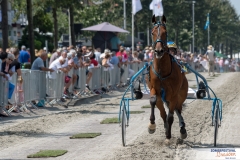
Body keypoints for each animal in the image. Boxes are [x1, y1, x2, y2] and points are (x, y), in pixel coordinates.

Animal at [147, 14, 188, 142]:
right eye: (152, 32)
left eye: (166, 32)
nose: (159, 50)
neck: (162, 73)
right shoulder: (154, 88)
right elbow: (153, 101)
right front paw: (152, 126)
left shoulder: (174, 94)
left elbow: (171, 116)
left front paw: (169, 136)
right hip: (163, 99)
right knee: (163, 113)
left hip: (181, 94)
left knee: (177, 109)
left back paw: (182, 129)